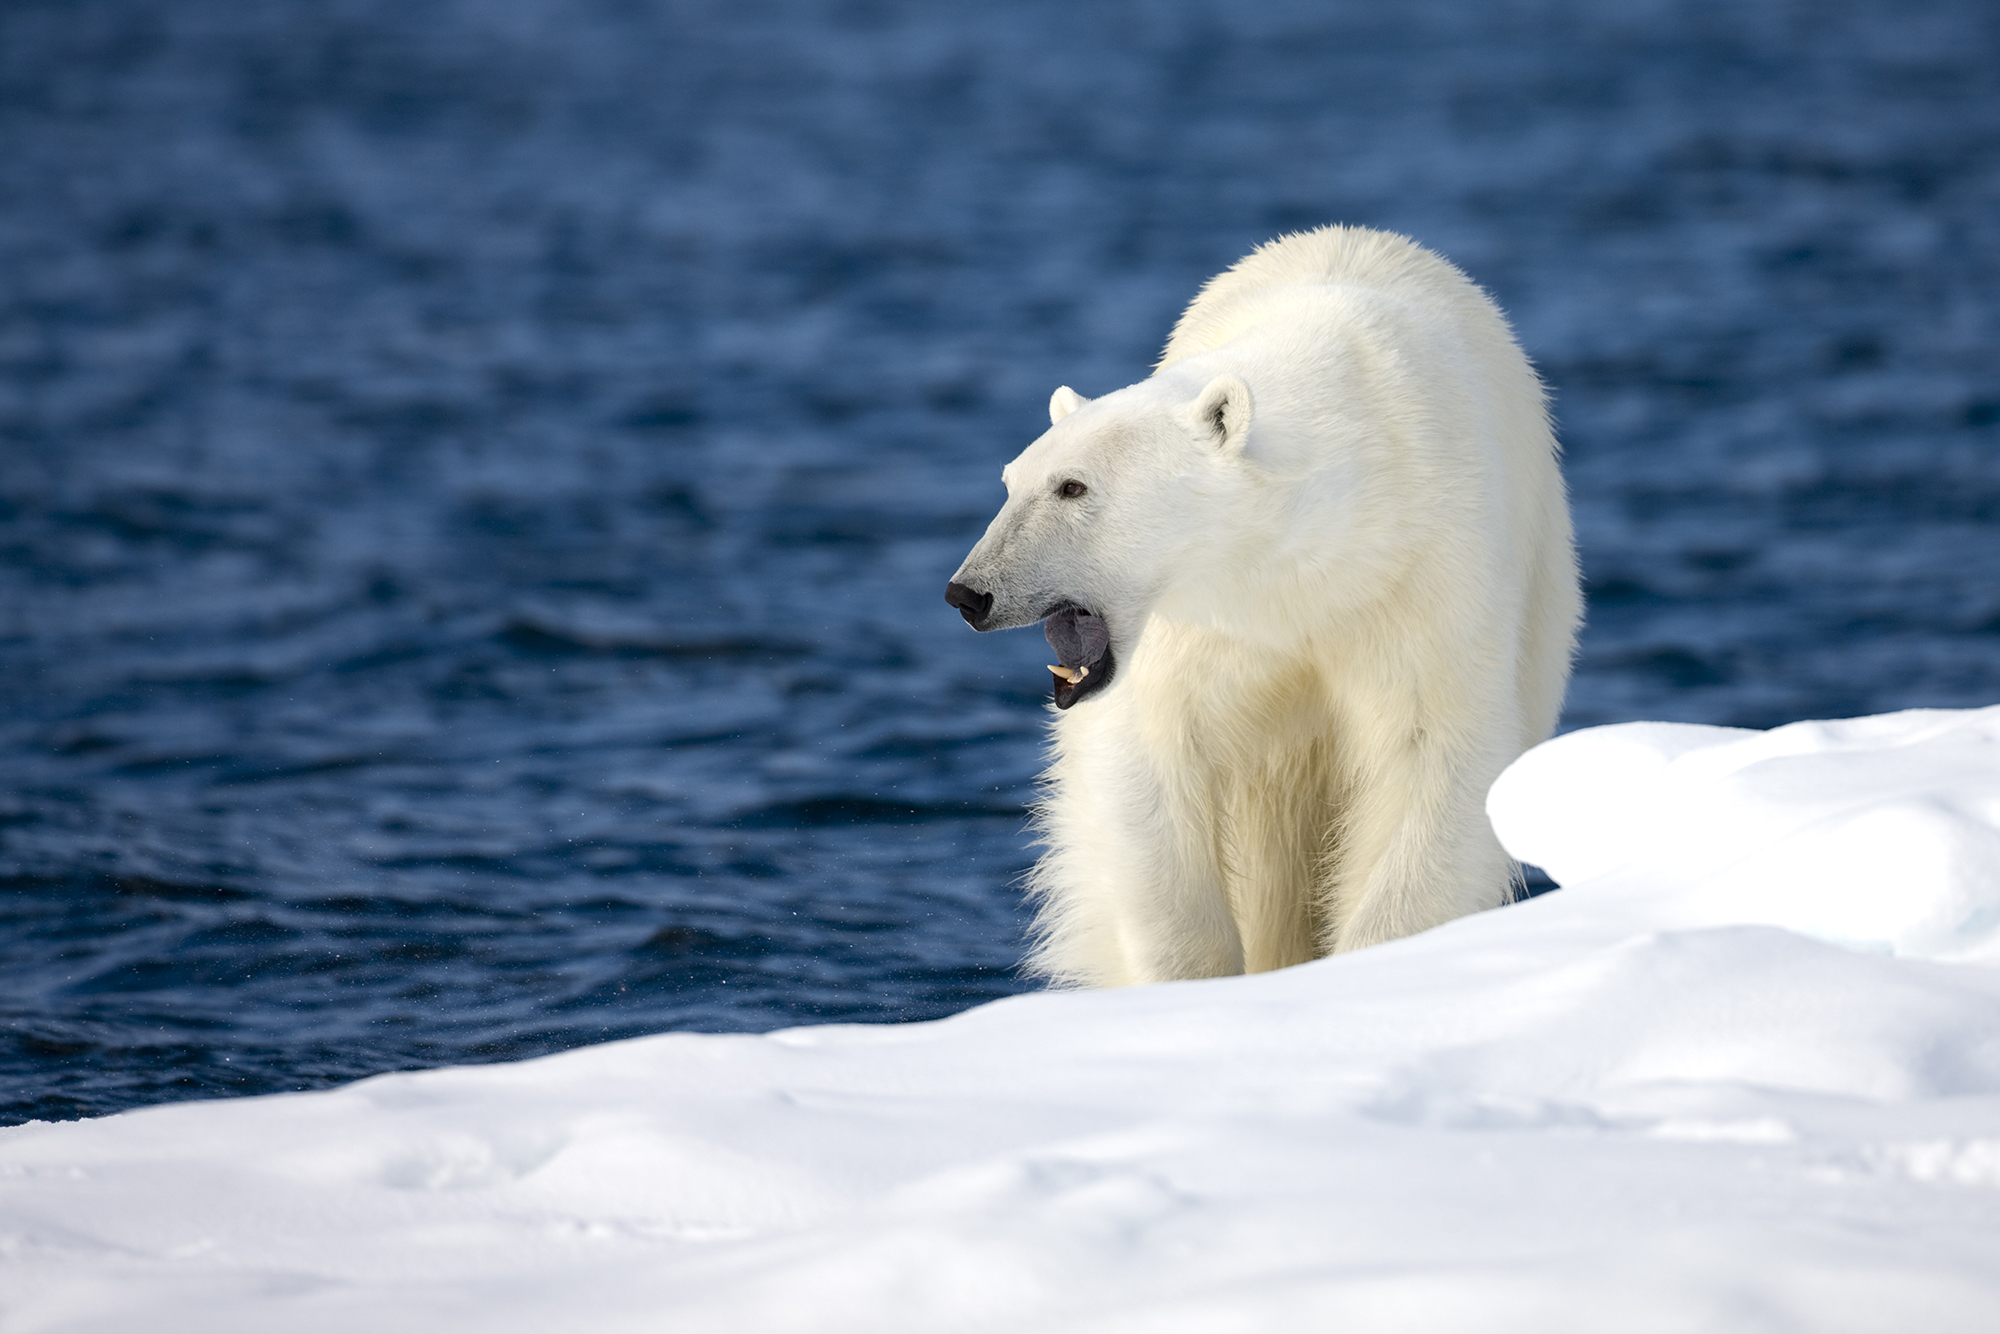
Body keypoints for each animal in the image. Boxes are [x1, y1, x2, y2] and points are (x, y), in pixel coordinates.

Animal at [944, 224, 1584, 988]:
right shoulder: (1201, 626)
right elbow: (1153, 764)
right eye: (1012, 480)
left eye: (1073, 486)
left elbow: (1430, 754)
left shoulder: (1423, 577)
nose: (969, 592)